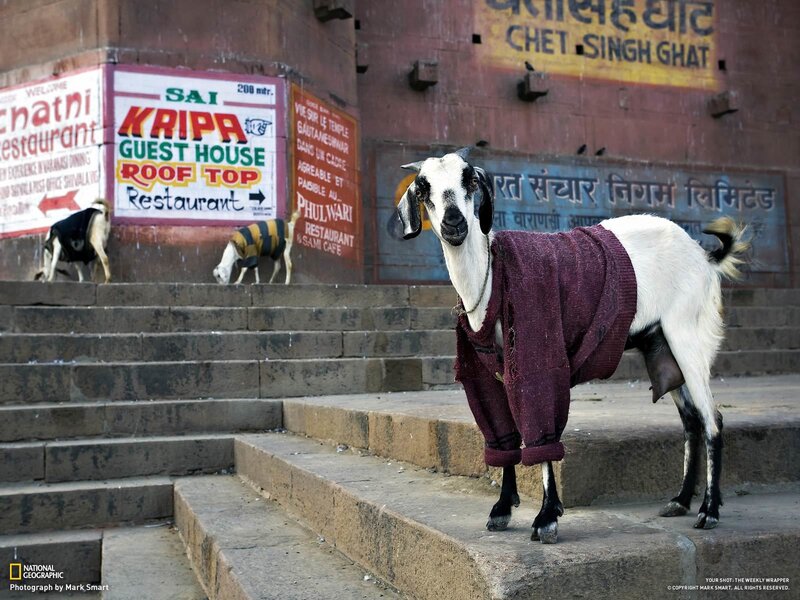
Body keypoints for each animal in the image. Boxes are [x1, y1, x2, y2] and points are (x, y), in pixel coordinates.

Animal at [396, 148, 748, 543]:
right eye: (424, 188)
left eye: (469, 180)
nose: (454, 223)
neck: (491, 277)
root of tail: (705, 257)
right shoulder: (488, 375)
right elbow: (503, 436)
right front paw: (502, 509)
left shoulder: (539, 358)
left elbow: (541, 433)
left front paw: (547, 517)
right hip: (662, 349)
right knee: (691, 420)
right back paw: (681, 501)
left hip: (688, 337)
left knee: (712, 419)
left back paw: (708, 510)